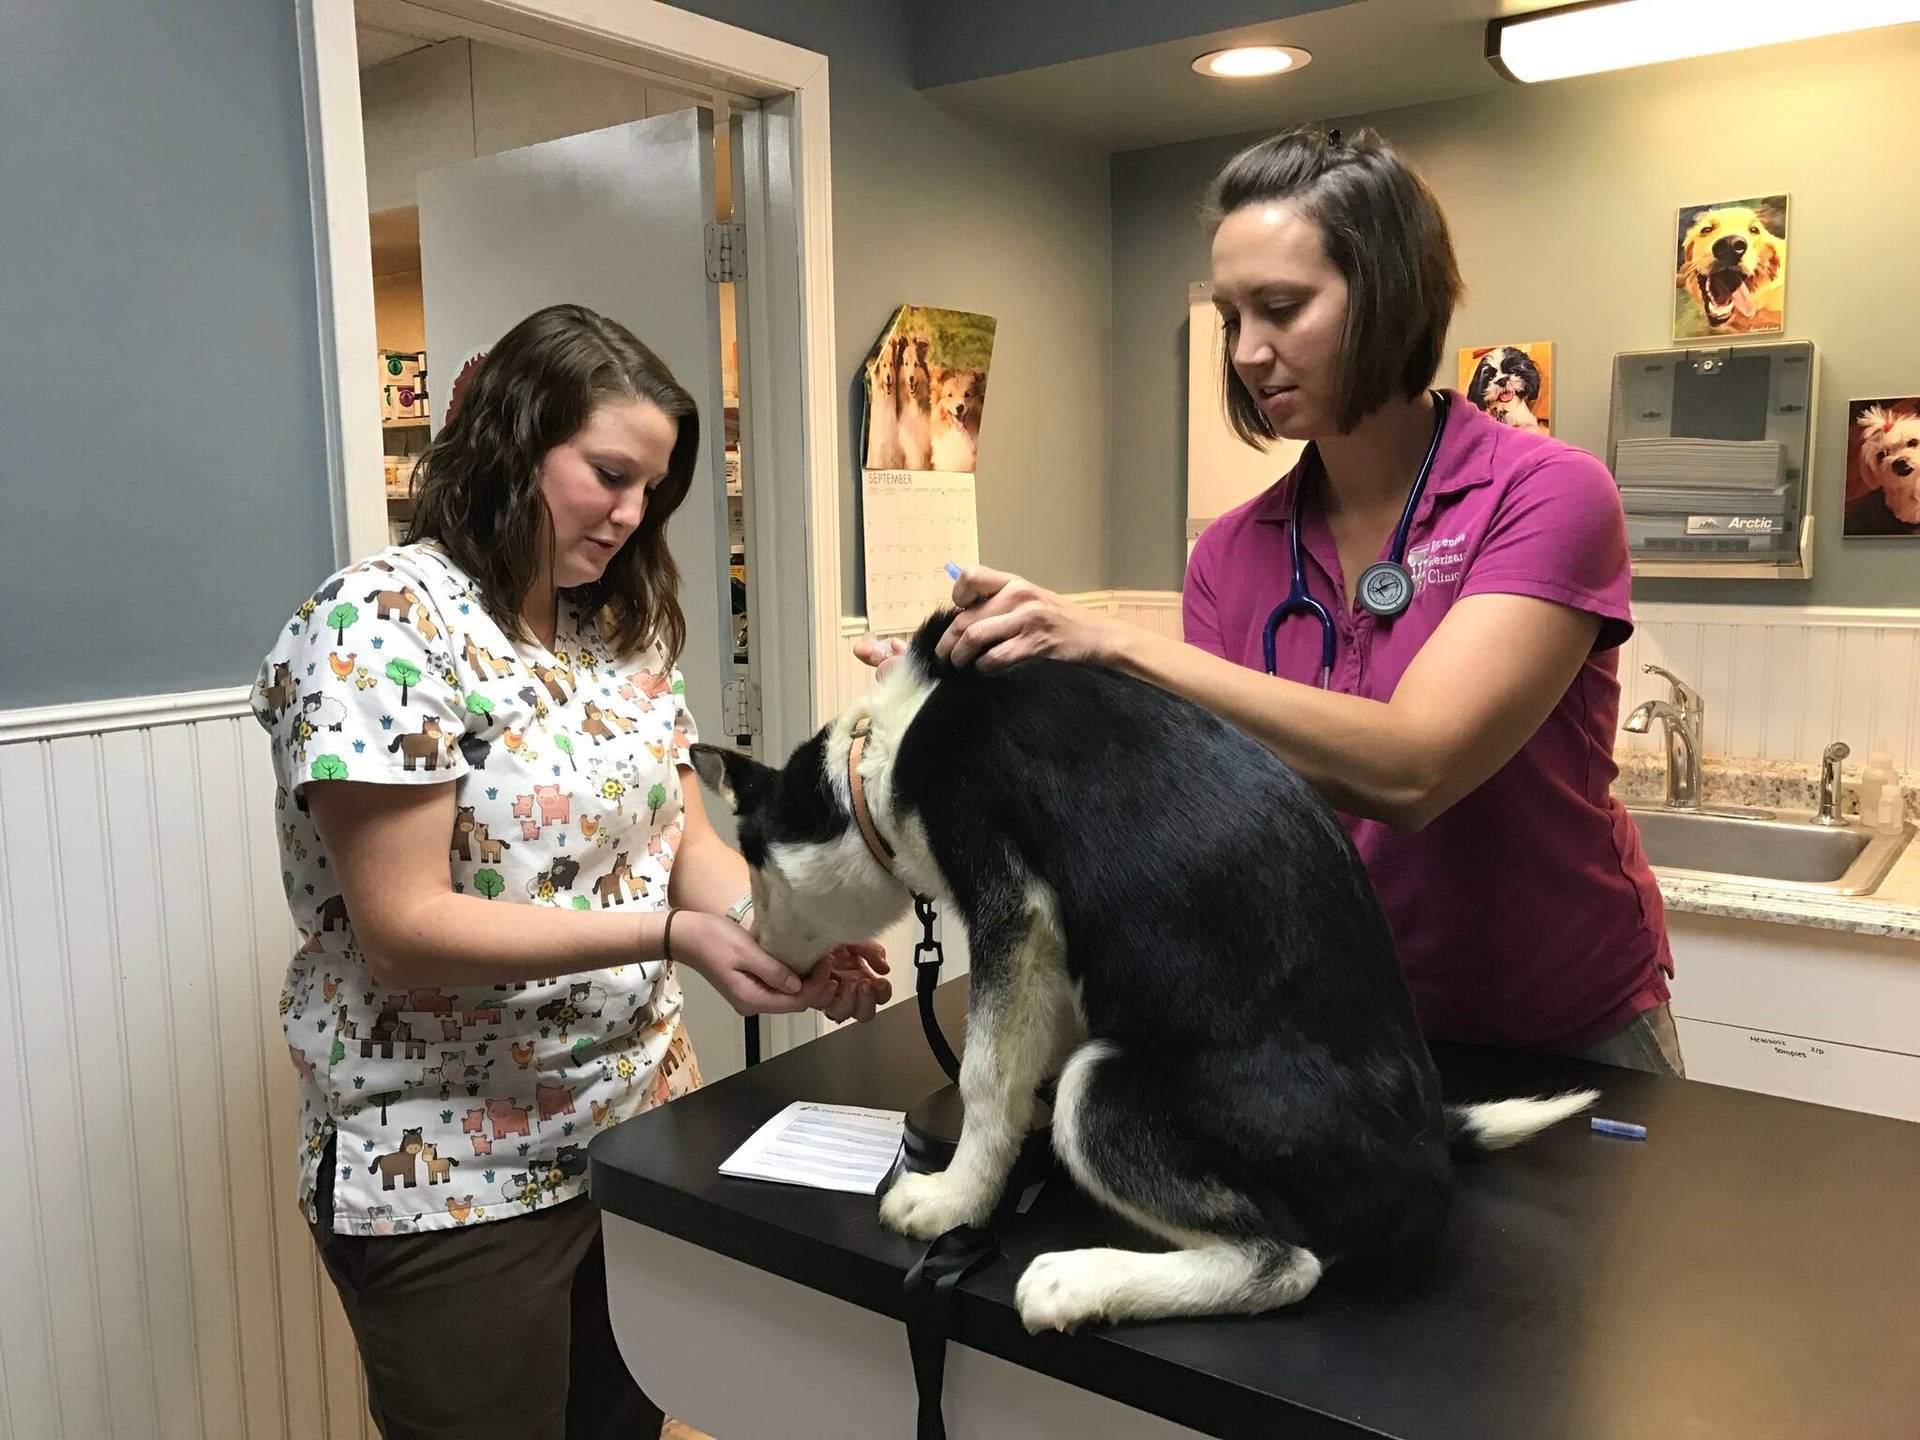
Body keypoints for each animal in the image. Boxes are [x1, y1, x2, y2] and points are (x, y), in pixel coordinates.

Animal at [691, 614, 1589, 1336]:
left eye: (753, 863)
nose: (745, 939)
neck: (875, 757)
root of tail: (1427, 1153)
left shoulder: (1014, 905)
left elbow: (984, 1078)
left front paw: (955, 1199)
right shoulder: (1045, 941)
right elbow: (1016, 1059)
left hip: (1104, 1091)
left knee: (1284, 1263)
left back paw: (1082, 1280)